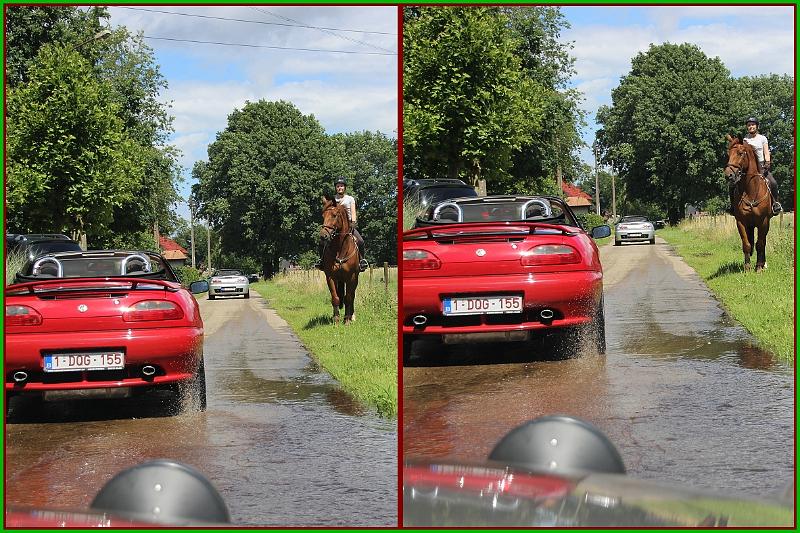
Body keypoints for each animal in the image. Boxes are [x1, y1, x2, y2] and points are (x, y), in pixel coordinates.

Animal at [724, 135, 768, 272]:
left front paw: (758, 267)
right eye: (728, 154)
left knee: (763, 242)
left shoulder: (763, 221)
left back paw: (763, 264)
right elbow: (746, 244)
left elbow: (760, 244)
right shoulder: (741, 222)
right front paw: (747, 267)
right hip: (750, 225)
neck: (751, 191)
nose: (728, 175)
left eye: (740, 153)